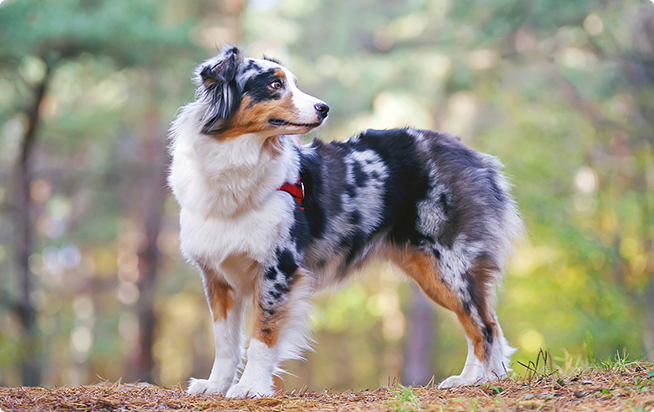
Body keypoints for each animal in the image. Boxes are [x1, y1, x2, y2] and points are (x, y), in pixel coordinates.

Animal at [169, 45, 528, 400]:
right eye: (274, 85)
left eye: (294, 84)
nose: (324, 108)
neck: (237, 162)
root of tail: (473, 155)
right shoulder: (217, 275)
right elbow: (225, 341)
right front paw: (216, 386)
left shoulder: (278, 269)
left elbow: (263, 334)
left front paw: (250, 387)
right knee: (489, 322)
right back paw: (489, 377)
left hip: (448, 264)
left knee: (483, 325)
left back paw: (471, 379)